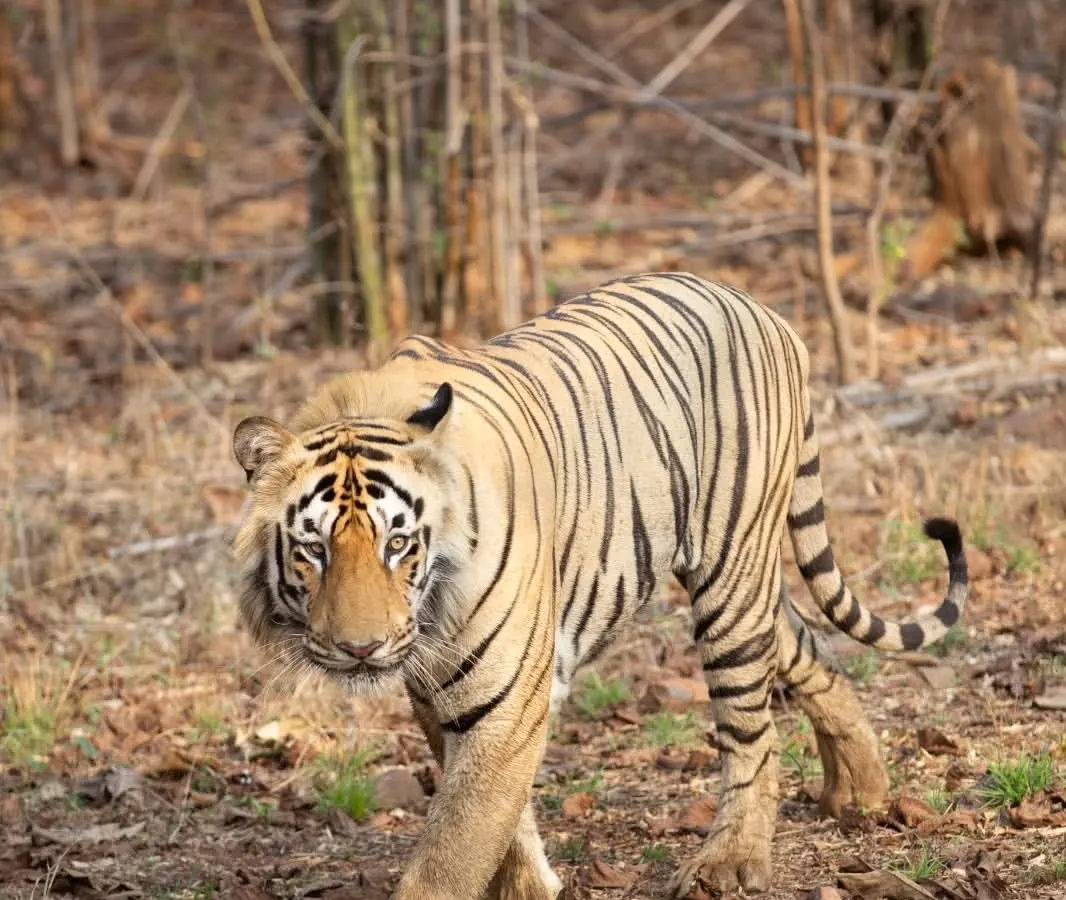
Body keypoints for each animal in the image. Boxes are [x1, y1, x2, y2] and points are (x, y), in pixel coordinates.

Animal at [232, 272, 968, 900]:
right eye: (314, 550)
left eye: (397, 544)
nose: (361, 649)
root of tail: (762, 309)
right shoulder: (441, 693)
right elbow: (500, 821)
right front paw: (531, 885)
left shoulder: (504, 694)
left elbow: (455, 847)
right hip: (748, 584)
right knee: (811, 652)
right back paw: (862, 789)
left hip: (730, 575)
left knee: (752, 732)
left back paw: (731, 861)